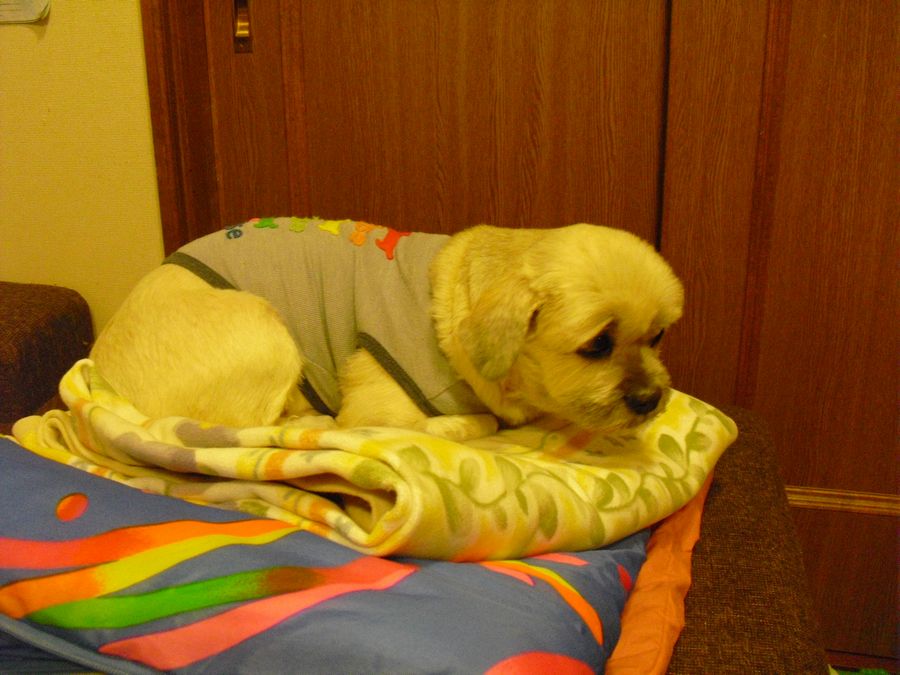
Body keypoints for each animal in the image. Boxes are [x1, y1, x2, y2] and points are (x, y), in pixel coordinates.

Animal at [90, 218, 684, 441]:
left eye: (657, 336)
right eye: (597, 345)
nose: (652, 398)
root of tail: (100, 368)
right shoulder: (377, 411)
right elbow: (470, 424)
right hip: (265, 329)